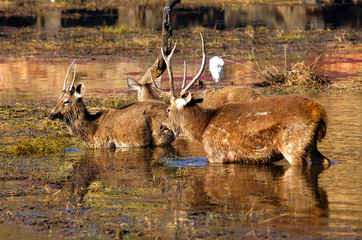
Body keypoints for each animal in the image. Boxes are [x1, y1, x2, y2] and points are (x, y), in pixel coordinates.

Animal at [163, 33, 330, 165]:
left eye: (168, 109)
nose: (162, 125)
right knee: (325, 160)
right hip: (311, 144)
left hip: (293, 144)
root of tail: (319, 113)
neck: (201, 129)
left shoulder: (215, 154)